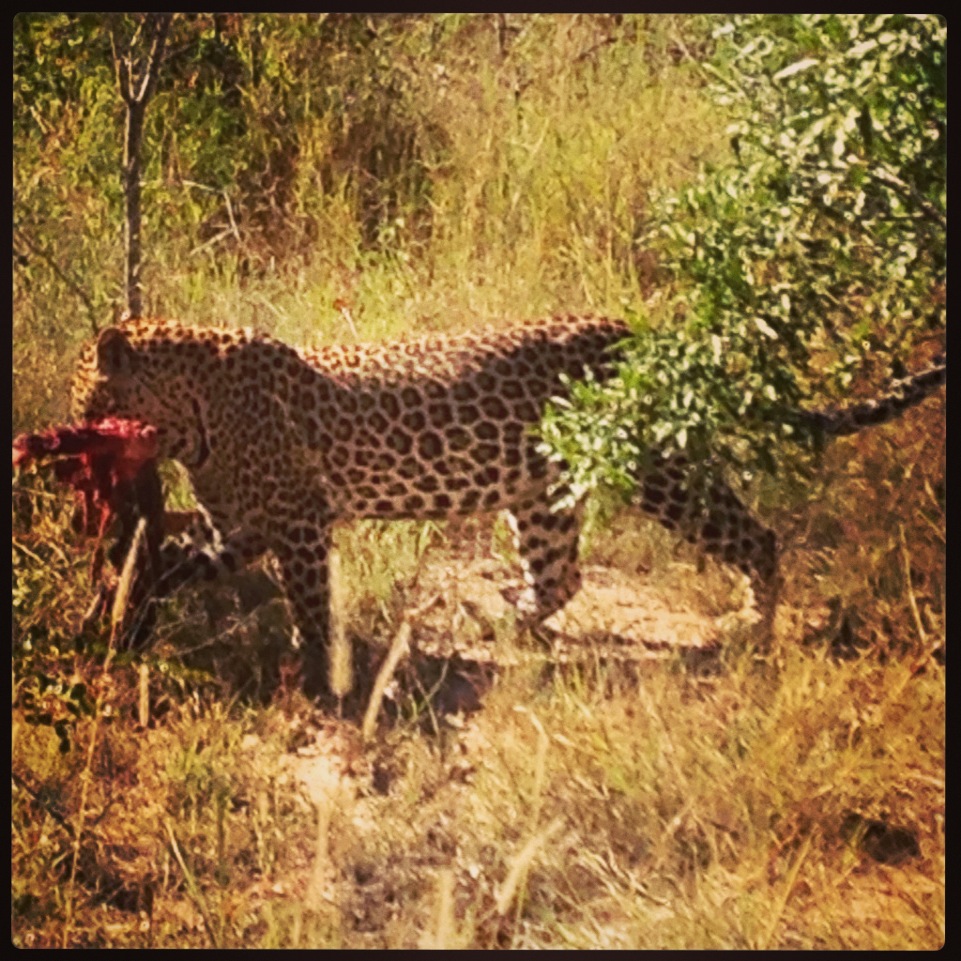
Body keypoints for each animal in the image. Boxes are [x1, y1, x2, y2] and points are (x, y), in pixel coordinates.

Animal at [71, 314, 945, 698]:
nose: (66, 417)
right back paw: (503, 620)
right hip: (542, 493)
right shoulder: (240, 526)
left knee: (753, 536)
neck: (188, 416)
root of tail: (639, 330)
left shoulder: (296, 521)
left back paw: (751, 629)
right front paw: (126, 604)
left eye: (86, 387)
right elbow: (177, 561)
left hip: (659, 469)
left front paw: (323, 673)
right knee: (560, 577)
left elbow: (313, 603)